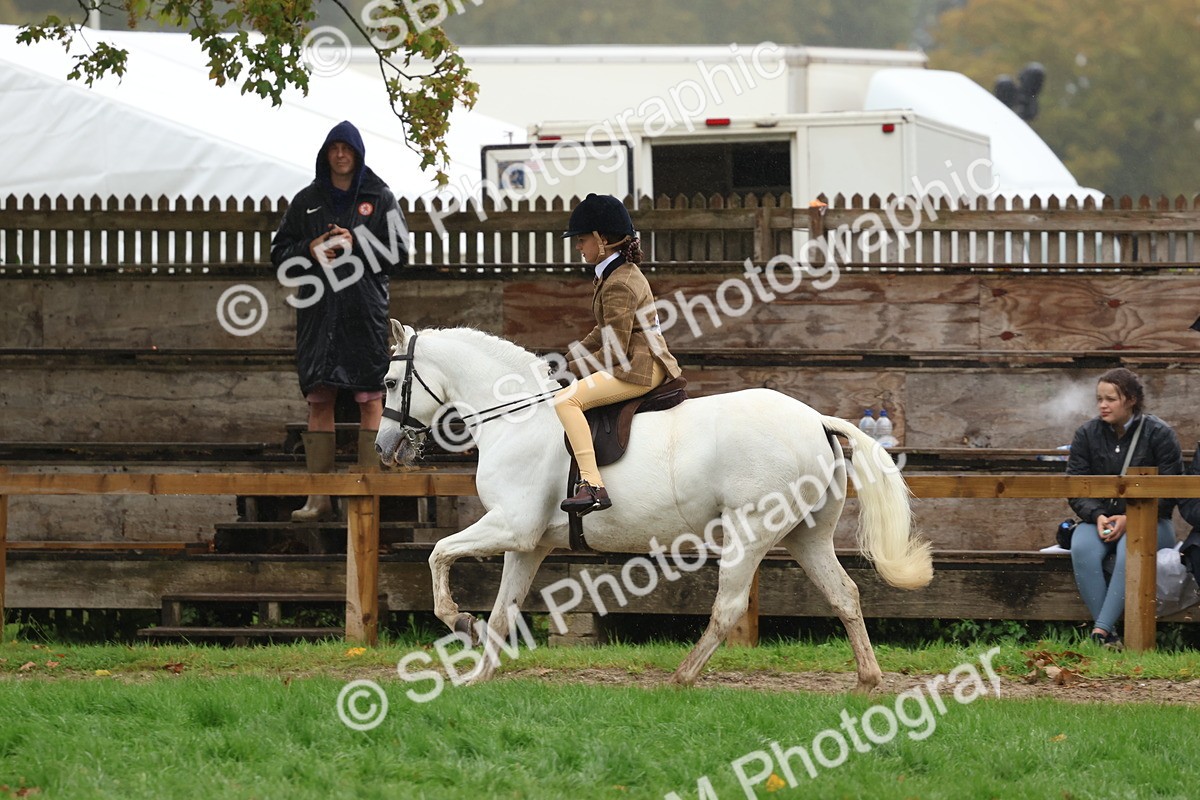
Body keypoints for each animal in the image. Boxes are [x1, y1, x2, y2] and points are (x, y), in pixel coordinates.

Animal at [375, 320, 932, 692]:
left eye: (388, 383)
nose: (384, 448)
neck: (516, 417)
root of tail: (816, 419)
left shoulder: (511, 526)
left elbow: (439, 555)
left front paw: (458, 622)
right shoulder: (527, 543)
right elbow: (501, 610)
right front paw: (480, 675)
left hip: (749, 531)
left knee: (729, 606)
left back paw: (682, 677)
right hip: (806, 535)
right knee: (845, 595)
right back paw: (866, 679)